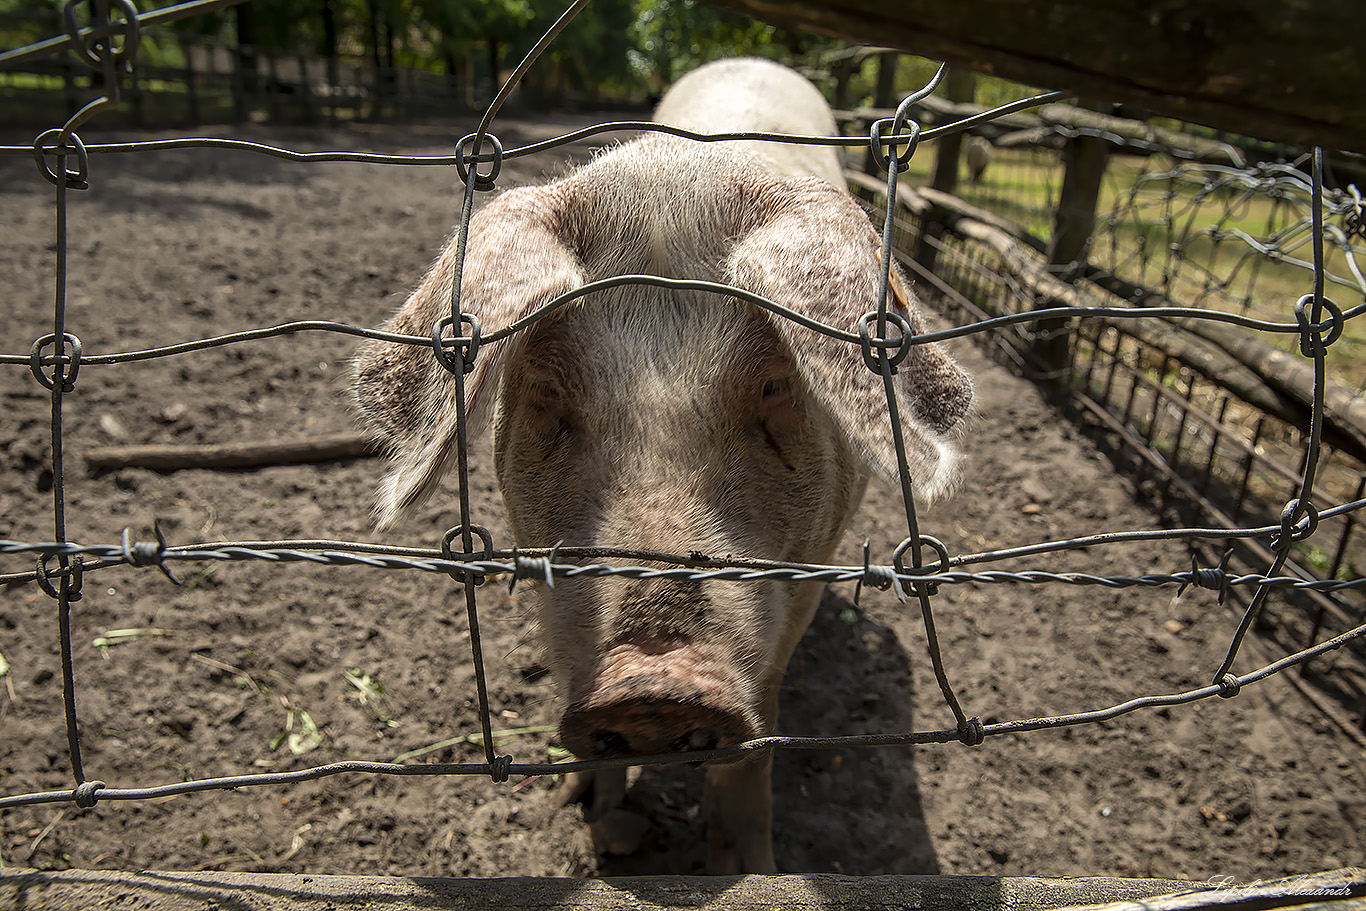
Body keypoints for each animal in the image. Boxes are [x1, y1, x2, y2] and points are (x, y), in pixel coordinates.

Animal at [352, 57, 972, 874]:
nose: (652, 681)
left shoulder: (799, 592)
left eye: (775, 386)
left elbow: (755, 745)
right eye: (547, 388)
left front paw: (748, 871)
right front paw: (582, 810)